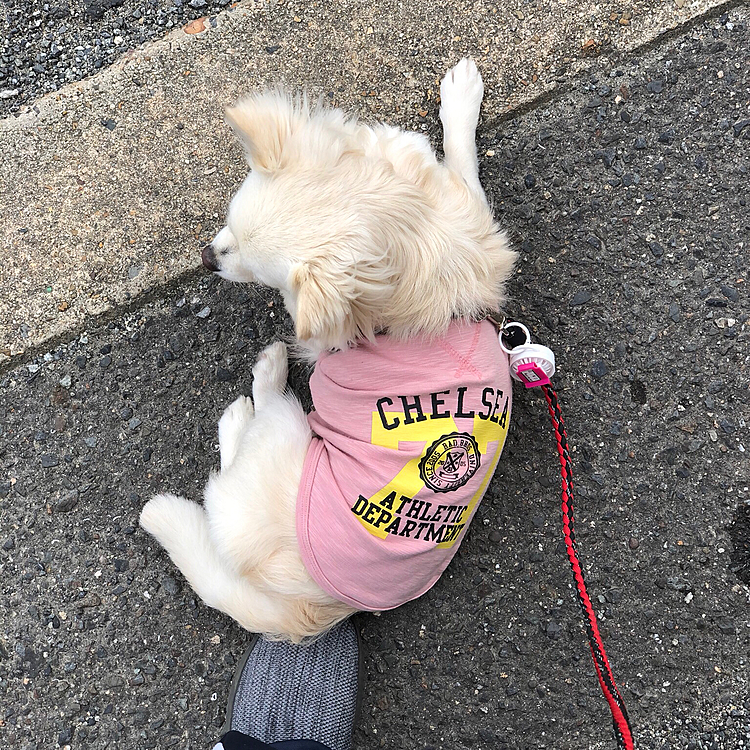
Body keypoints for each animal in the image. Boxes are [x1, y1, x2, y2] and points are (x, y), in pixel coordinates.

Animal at [140, 61, 516, 644]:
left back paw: (255, 391)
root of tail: (310, 610)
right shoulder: (464, 207)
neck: (415, 241)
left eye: (259, 274)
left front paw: (461, 101)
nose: (206, 258)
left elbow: (463, 159)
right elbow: (460, 162)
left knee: (231, 465)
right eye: (229, 229)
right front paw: (462, 98)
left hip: (284, 431)